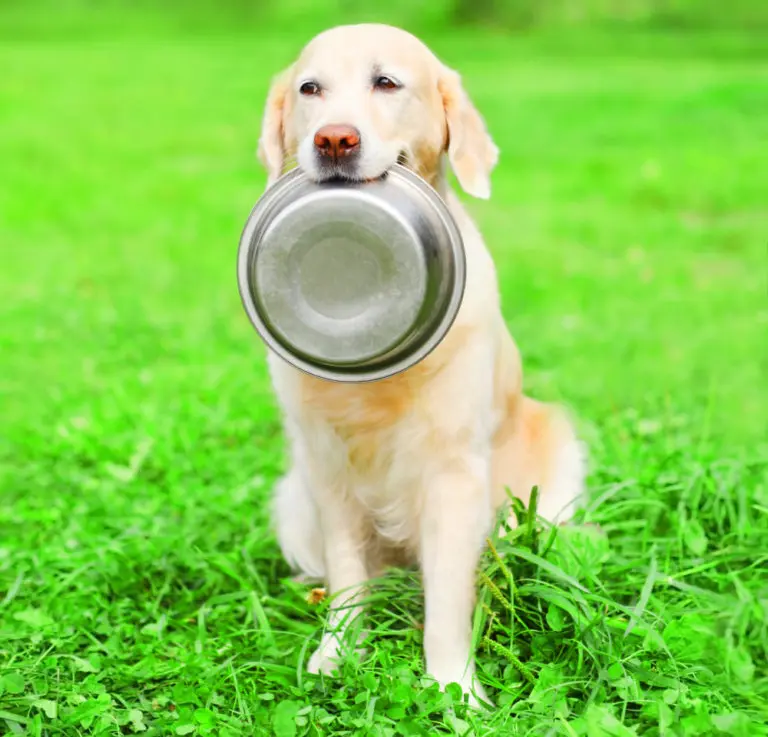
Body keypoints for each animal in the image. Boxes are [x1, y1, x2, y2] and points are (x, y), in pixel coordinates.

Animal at [255, 21, 584, 700]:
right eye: (310, 88)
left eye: (387, 82)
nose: (335, 139)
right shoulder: (326, 466)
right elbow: (348, 576)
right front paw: (337, 651)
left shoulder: (454, 472)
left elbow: (448, 603)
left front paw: (454, 688)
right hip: (292, 500)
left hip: (554, 462)